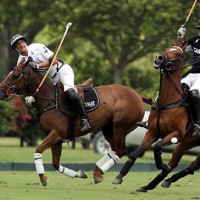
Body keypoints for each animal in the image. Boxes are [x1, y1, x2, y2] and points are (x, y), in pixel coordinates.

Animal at [0, 59, 145, 186]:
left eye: (15, 75)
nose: (1, 92)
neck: (49, 99)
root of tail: (138, 96)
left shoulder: (56, 134)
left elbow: (38, 150)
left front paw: (43, 178)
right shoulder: (56, 138)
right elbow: (56, 163)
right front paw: (79, 174)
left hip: (120, 126)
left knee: (121, 150)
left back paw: (102, 173)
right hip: (108, 128)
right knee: (115, 149)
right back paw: (98, 173)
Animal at [112, 42, 194, 191]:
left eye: (178, 54)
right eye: (167, 49)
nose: (159, 58)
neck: (167, 102)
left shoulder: (177, 134)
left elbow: (157, 147)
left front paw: (161, 165)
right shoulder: (152, 132)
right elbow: (135, 153)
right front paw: (119, 176)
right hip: (186, 143)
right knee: (179, 164)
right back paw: (152, 185)